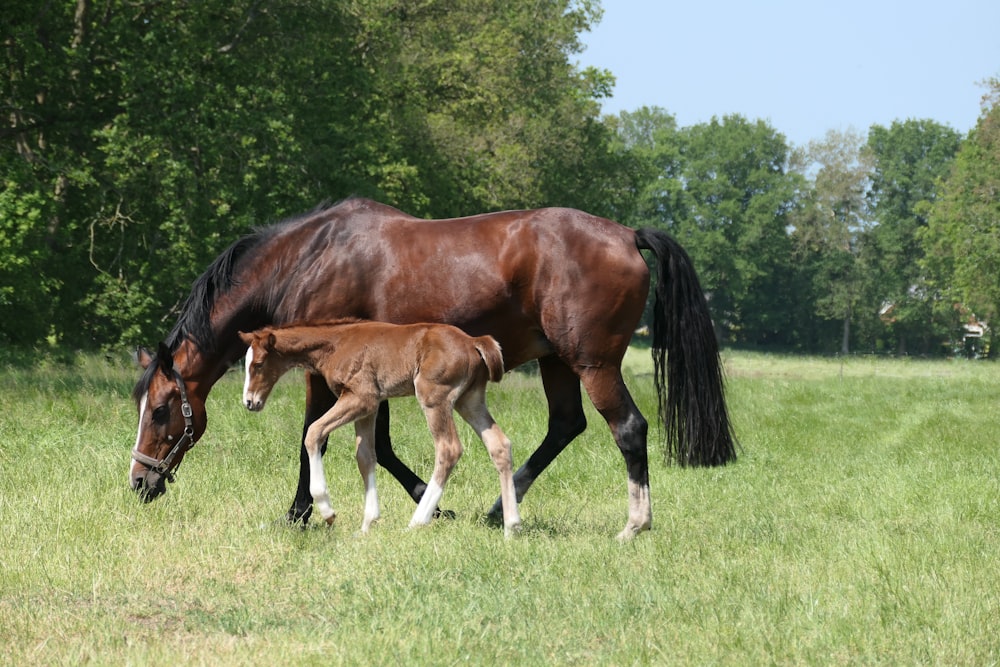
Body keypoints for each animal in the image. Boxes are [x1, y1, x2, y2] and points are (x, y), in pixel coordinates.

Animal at [131, 197, 736, 536]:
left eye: (161, 410)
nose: (139, 481)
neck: (308, 257)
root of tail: (628, 234)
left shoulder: (320, 374)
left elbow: (313, 439)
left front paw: (302, 514)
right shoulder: (375, 381)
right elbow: (379, 447)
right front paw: (425, 502)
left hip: (593, 364)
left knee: (628, 428)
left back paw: (635, 524)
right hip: (557, 363)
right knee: (564, 426)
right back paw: (499, 508)